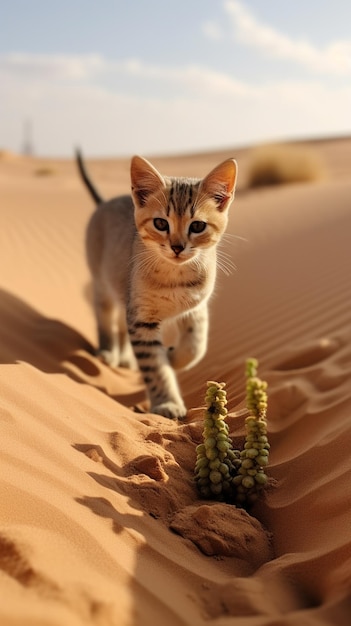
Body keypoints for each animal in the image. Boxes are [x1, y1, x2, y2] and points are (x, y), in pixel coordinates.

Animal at [75, 149, 238, 416]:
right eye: (161, 223)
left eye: (198, 226)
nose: (177, 247)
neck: (176, 275)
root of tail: (105, 202)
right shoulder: (142, 319)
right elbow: (155, 367)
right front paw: (166, 401)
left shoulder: (195, 307)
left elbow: (196, 346)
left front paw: (173, 357)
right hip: (104, 287)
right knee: (105, 319)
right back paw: (108, 353)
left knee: (120, 325)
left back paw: (125, 359)